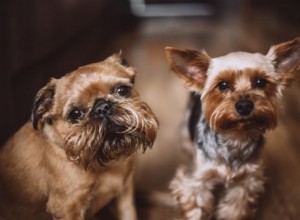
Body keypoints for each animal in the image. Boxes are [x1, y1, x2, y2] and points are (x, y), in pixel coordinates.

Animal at [0, 53, 159, 220]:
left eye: (122, 90)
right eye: (75, 114)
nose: (102, 107)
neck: (105, 165)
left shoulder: (125, 192)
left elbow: (129, 214)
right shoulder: (67, 209)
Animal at [165, 37, 300, 219]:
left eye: (261, 82)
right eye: (223, 85)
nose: (244, 105)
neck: (236, 137)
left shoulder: (245, 182)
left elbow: (234, 210)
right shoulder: (195, 182)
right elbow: (196, 208)